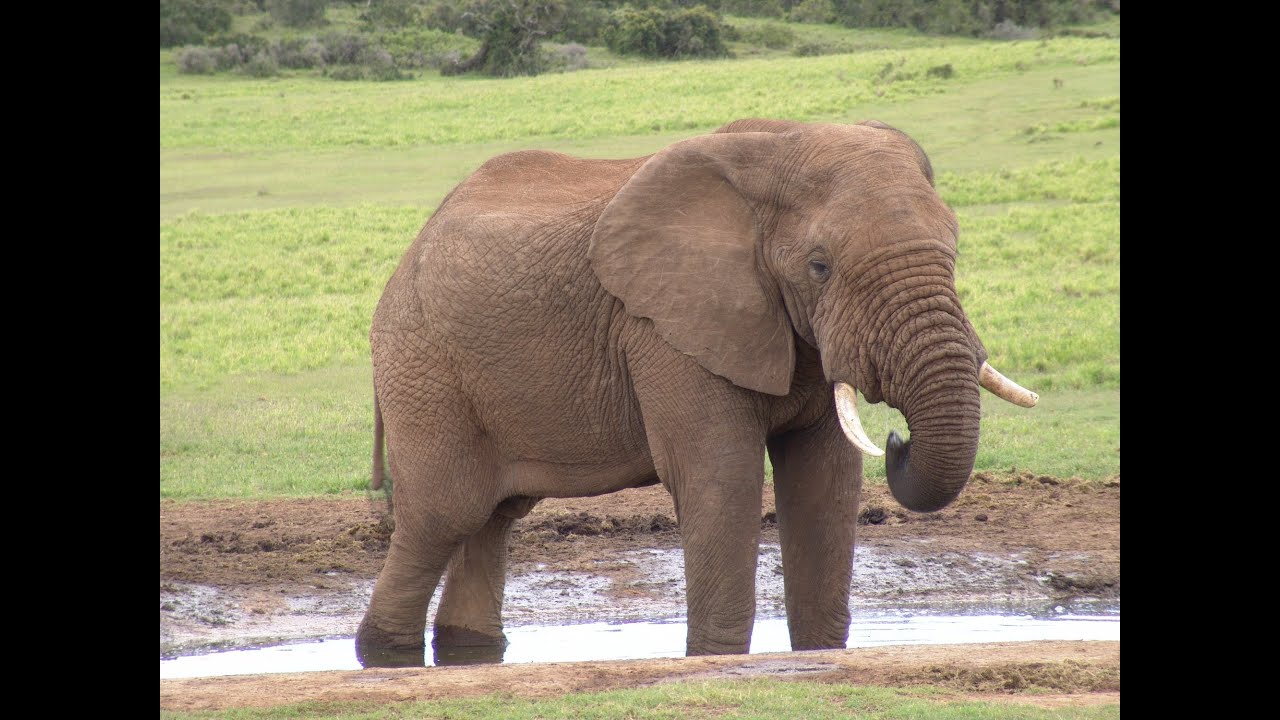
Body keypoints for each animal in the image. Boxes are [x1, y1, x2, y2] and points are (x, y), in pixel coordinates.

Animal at [355, 118, 1037, 667]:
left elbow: (823, 482)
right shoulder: (666, 329)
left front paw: (819, 654)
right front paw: (716, 658)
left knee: (494, 518)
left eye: (955, 248)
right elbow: (720, 478)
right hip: (423, 363)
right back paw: (383, 653)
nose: (897, 439)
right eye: (819, 267)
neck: (775, 150)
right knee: (444, 514)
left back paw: (466, 651)